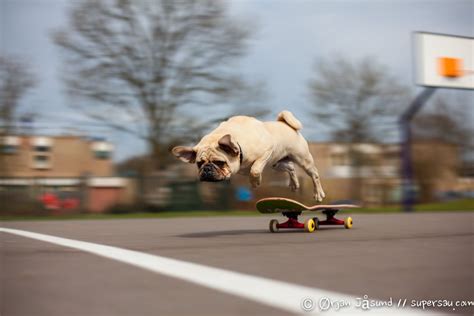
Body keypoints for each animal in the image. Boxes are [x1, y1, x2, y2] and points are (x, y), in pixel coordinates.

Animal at [171, 110, 326, 201]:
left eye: (220, 162)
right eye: (199, 164)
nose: (207, 169)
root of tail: (286, 125)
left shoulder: (266, 152)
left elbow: (255, 169)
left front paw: (256, 182)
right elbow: (253, 170)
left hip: (303, 160)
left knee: (315, 175)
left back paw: (318, 193)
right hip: (277, 163)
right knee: (290, 167)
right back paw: (294, 184)